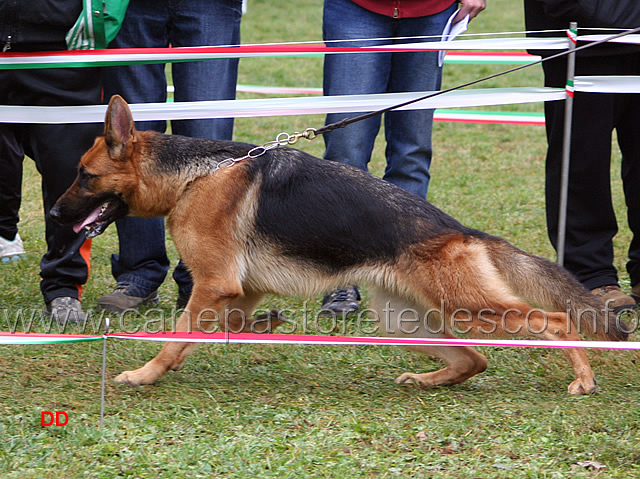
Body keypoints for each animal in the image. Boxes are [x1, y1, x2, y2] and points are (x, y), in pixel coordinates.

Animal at [52, 95, 628, 396]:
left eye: (84, 176)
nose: (55, 216)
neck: (195, 175)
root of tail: (464, 231)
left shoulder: (214, 283)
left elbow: (176, 337)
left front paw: (145, 374)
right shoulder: (237, 289)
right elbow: (225, 324)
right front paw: (266, 326)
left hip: (469, 308)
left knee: (556, 321)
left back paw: (582, 377)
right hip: (406, 320)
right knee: (474, 360)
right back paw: (428, 379)